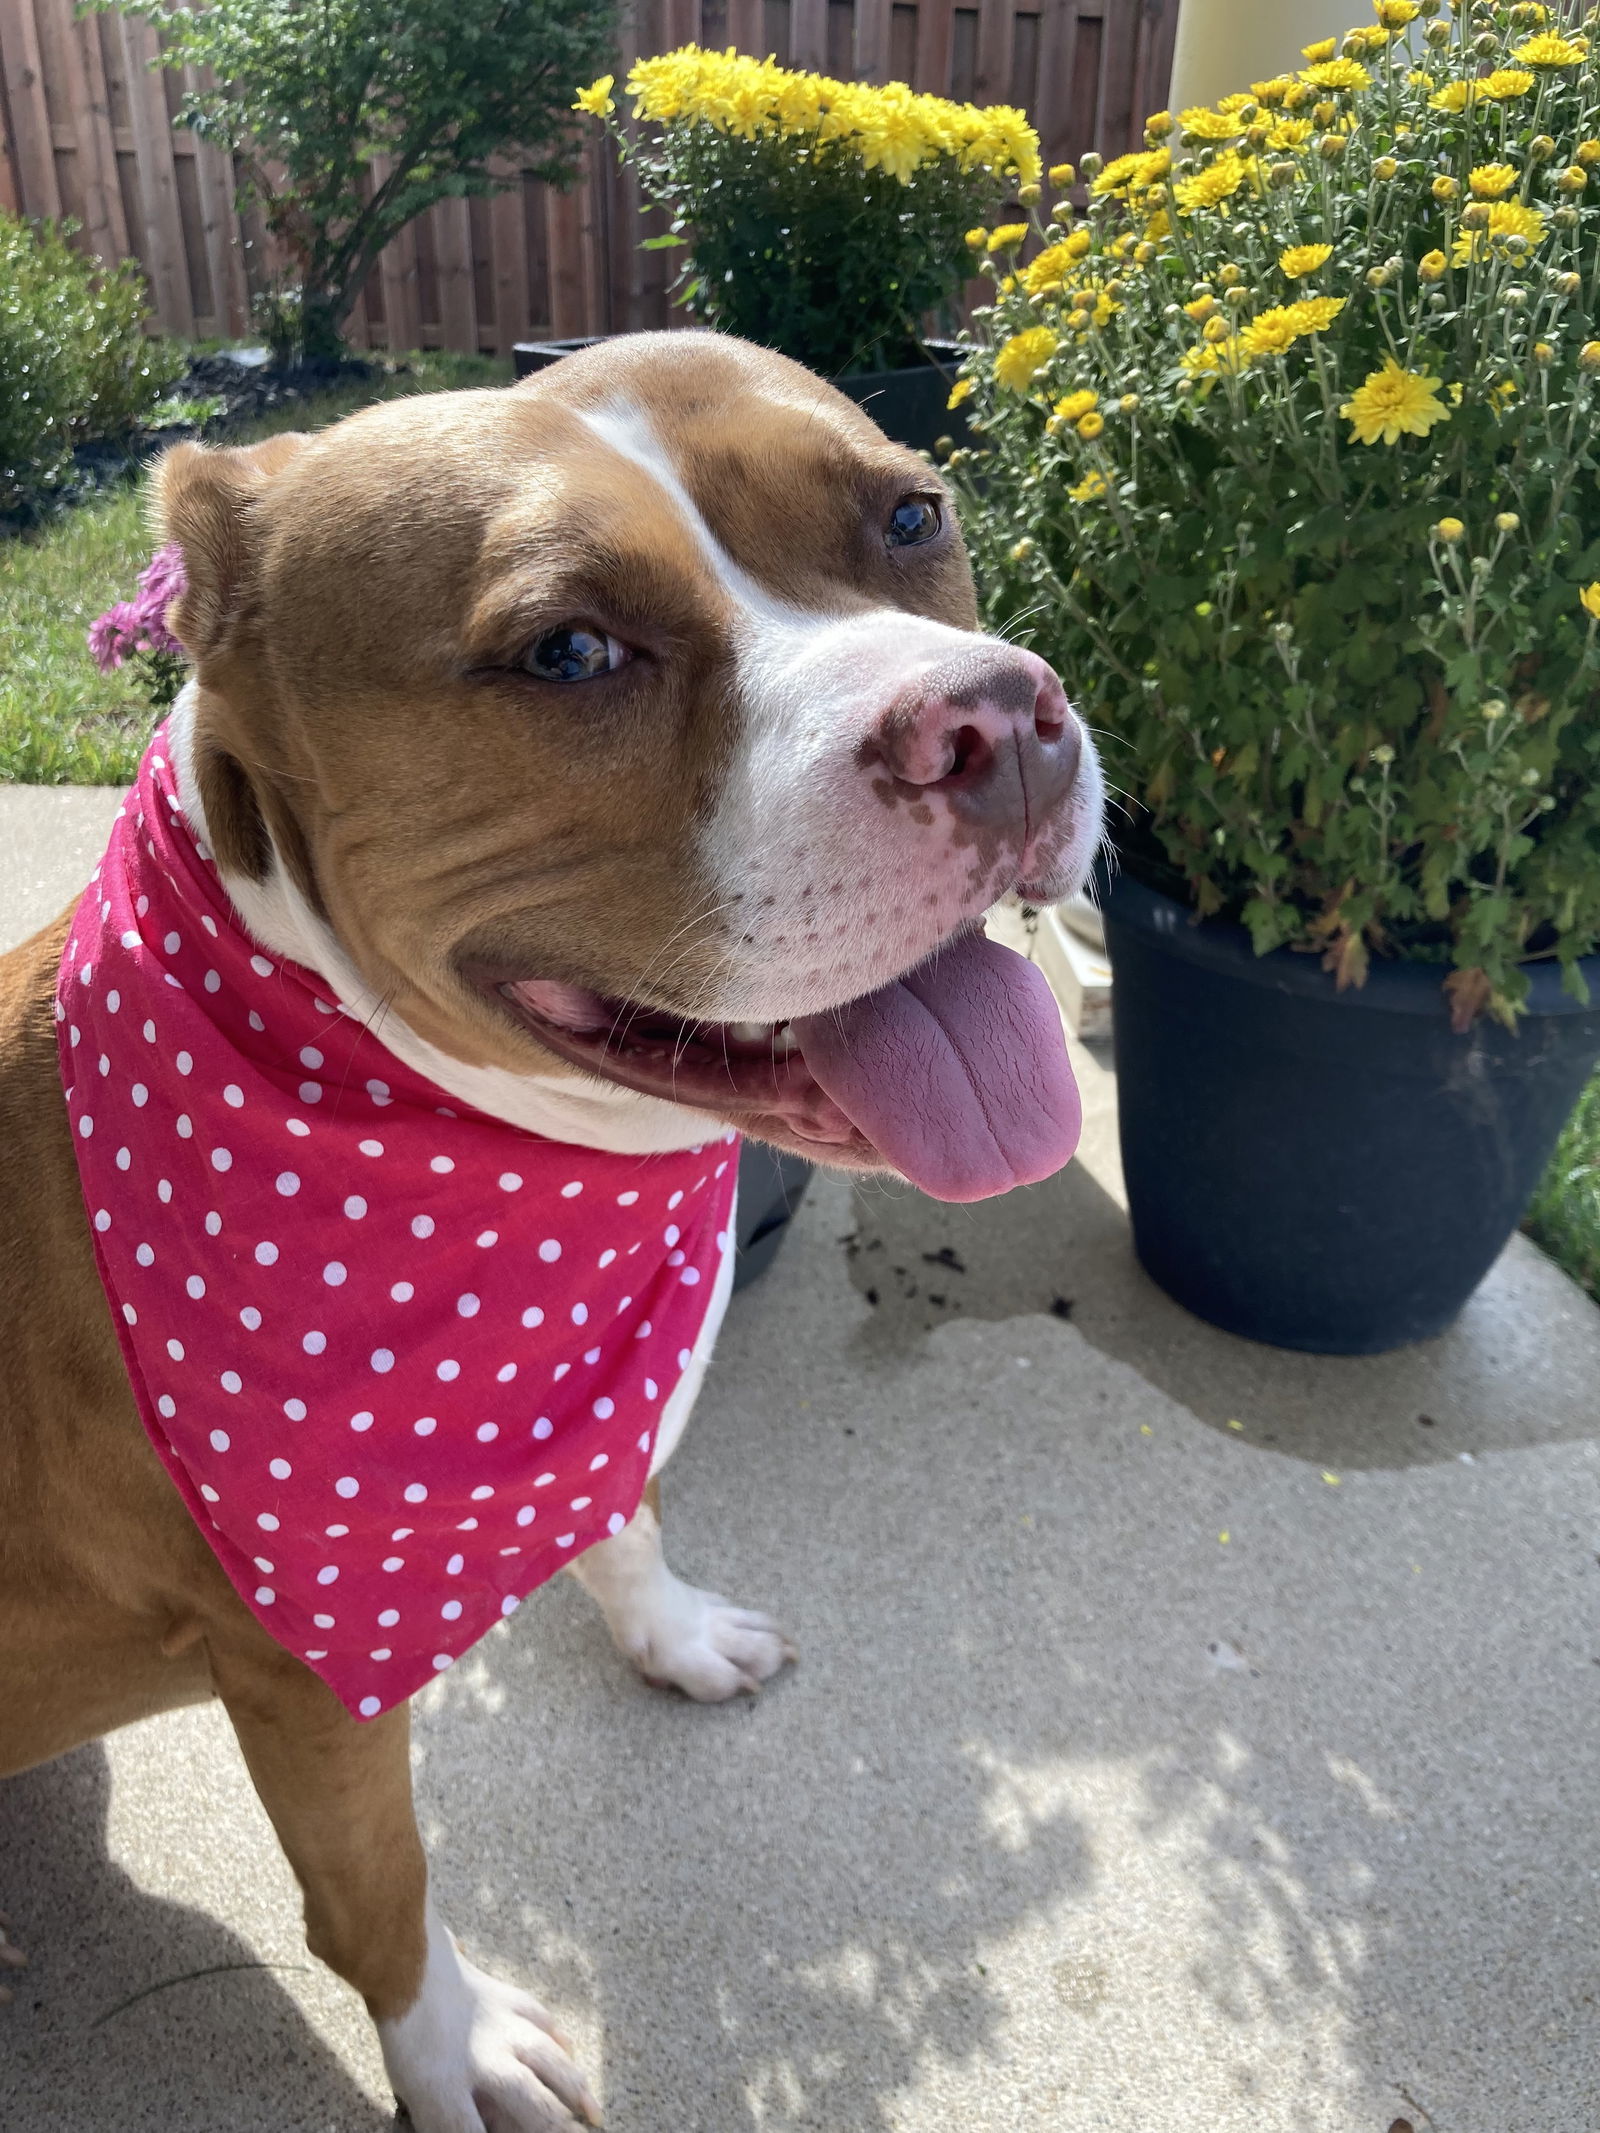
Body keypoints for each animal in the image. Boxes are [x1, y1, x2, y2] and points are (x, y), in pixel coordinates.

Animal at [0, 337, 1100, 2133]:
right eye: (569, 650)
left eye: (909, 515)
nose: (998, 722)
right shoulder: (299, 1667)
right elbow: (377, 1889)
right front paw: (453, 2048)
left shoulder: (591, 1393)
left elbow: (624, 1512)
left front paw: (673, 1634)